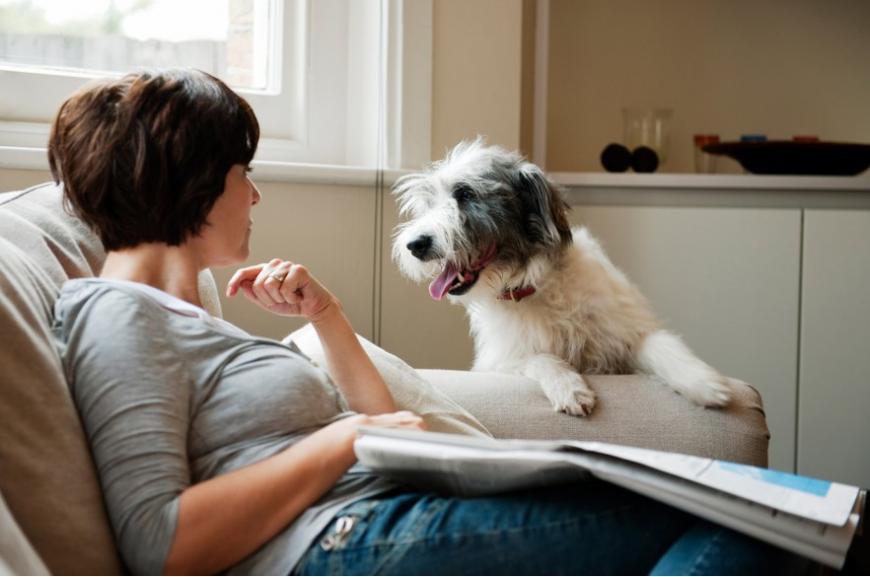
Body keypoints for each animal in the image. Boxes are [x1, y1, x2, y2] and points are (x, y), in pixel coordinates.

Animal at [394, 141, 736, 418]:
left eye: (464, 194)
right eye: (429, 204)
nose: (415, 245)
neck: (532, 287)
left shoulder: (625, 335)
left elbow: (659, 344)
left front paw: (706, 383)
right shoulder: (501, 361)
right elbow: (541, 358)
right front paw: (570, 388)